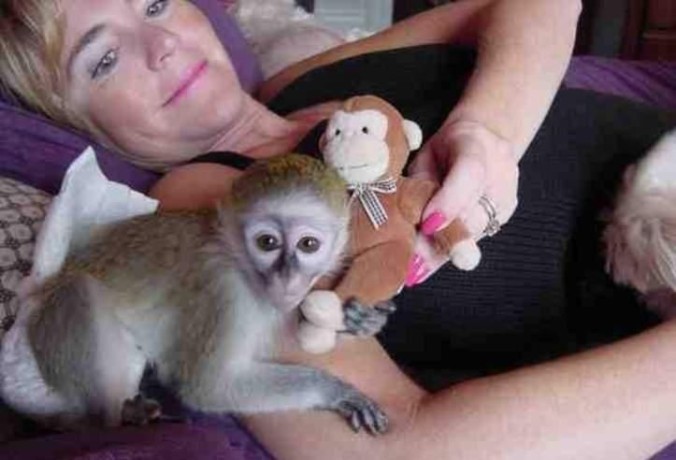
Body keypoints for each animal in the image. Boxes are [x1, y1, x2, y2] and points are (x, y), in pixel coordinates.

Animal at [0, 154, 389, 435]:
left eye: (308, 245)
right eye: (267, 242)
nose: (287, 276)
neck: (235, 257)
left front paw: (357, 321)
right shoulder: (225, 291)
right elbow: (209, 386)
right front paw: (333, 390)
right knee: (80, 292)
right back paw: (112, 418)